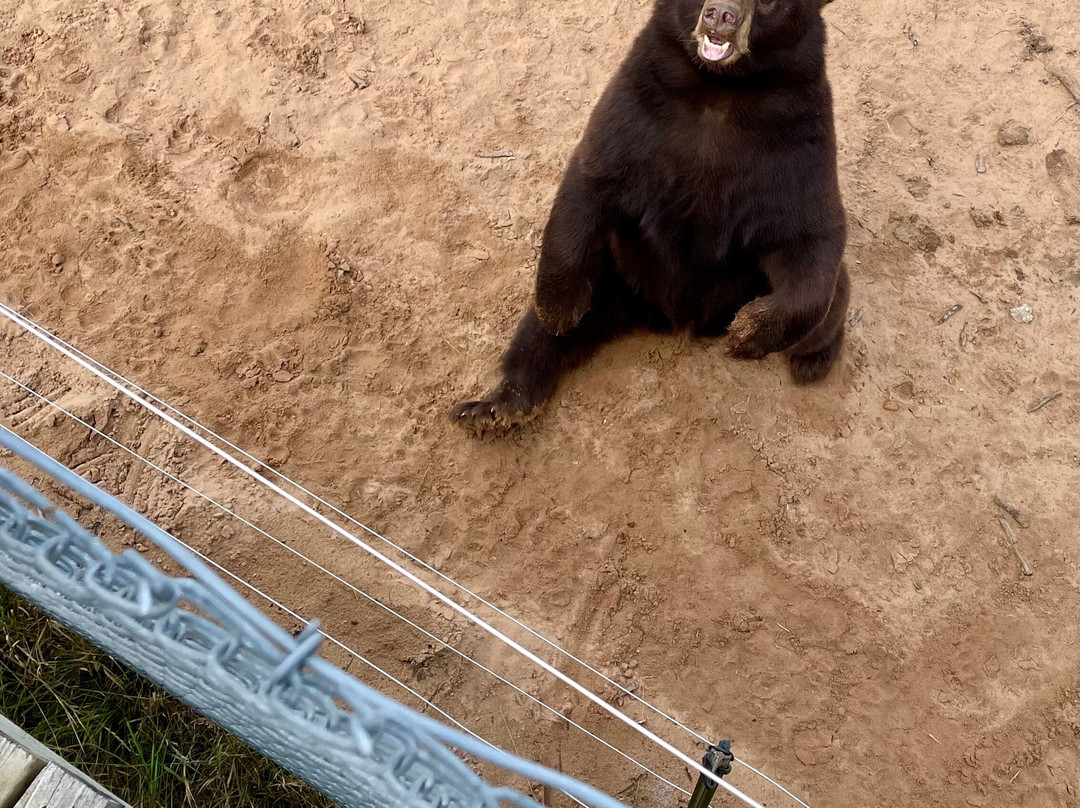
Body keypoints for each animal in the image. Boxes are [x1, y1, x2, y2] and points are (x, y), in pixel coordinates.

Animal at [453, 0, 848, 432]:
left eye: (769, 3)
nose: (721, 14)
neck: (720, 90)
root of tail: (665, 316)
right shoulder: (634, 110)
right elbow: (588, 183)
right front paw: (558, 311)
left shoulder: (798, 141)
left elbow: (811, 238)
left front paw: (746, 332)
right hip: (612, 274)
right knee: (536, 336)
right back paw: (494, 407)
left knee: (833, 302)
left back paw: (812, 360)